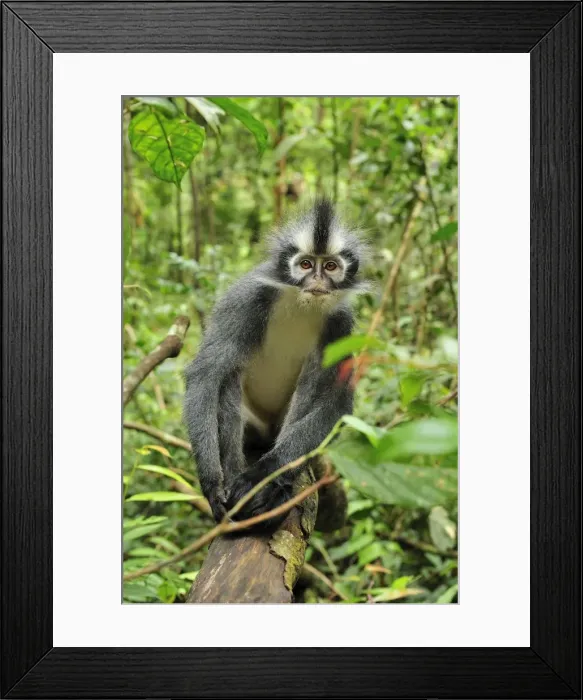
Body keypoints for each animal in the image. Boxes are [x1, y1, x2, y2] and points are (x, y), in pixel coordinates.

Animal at [183, 199, 368, 524]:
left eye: (330, 266)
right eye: (305, 264)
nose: (317, 280)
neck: (300, 302)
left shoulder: (341, 324)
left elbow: (338, 404)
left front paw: (265, 473)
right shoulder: (247, 298)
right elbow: (206, 374)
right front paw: (212, 483)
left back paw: (276, 489)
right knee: (229, 373)